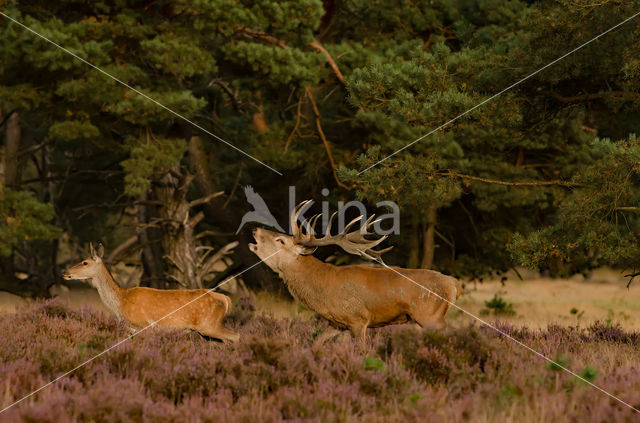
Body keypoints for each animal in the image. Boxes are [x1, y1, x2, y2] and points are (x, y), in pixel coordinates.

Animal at [63, 243, 239, 342]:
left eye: (85, 262)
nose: (65, 273)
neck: (121, 301)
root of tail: (225, 299)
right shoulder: (131, 329)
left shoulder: (145, 324)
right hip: (207, 330)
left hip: (209, 324)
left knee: (236, 337)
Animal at [248, 200, 462, 342]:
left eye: (281, 241)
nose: (255, 230)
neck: (323, 291)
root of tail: (453, 284)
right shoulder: (337, 323)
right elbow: (316, 343)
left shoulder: (358, 318)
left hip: (430, 316)